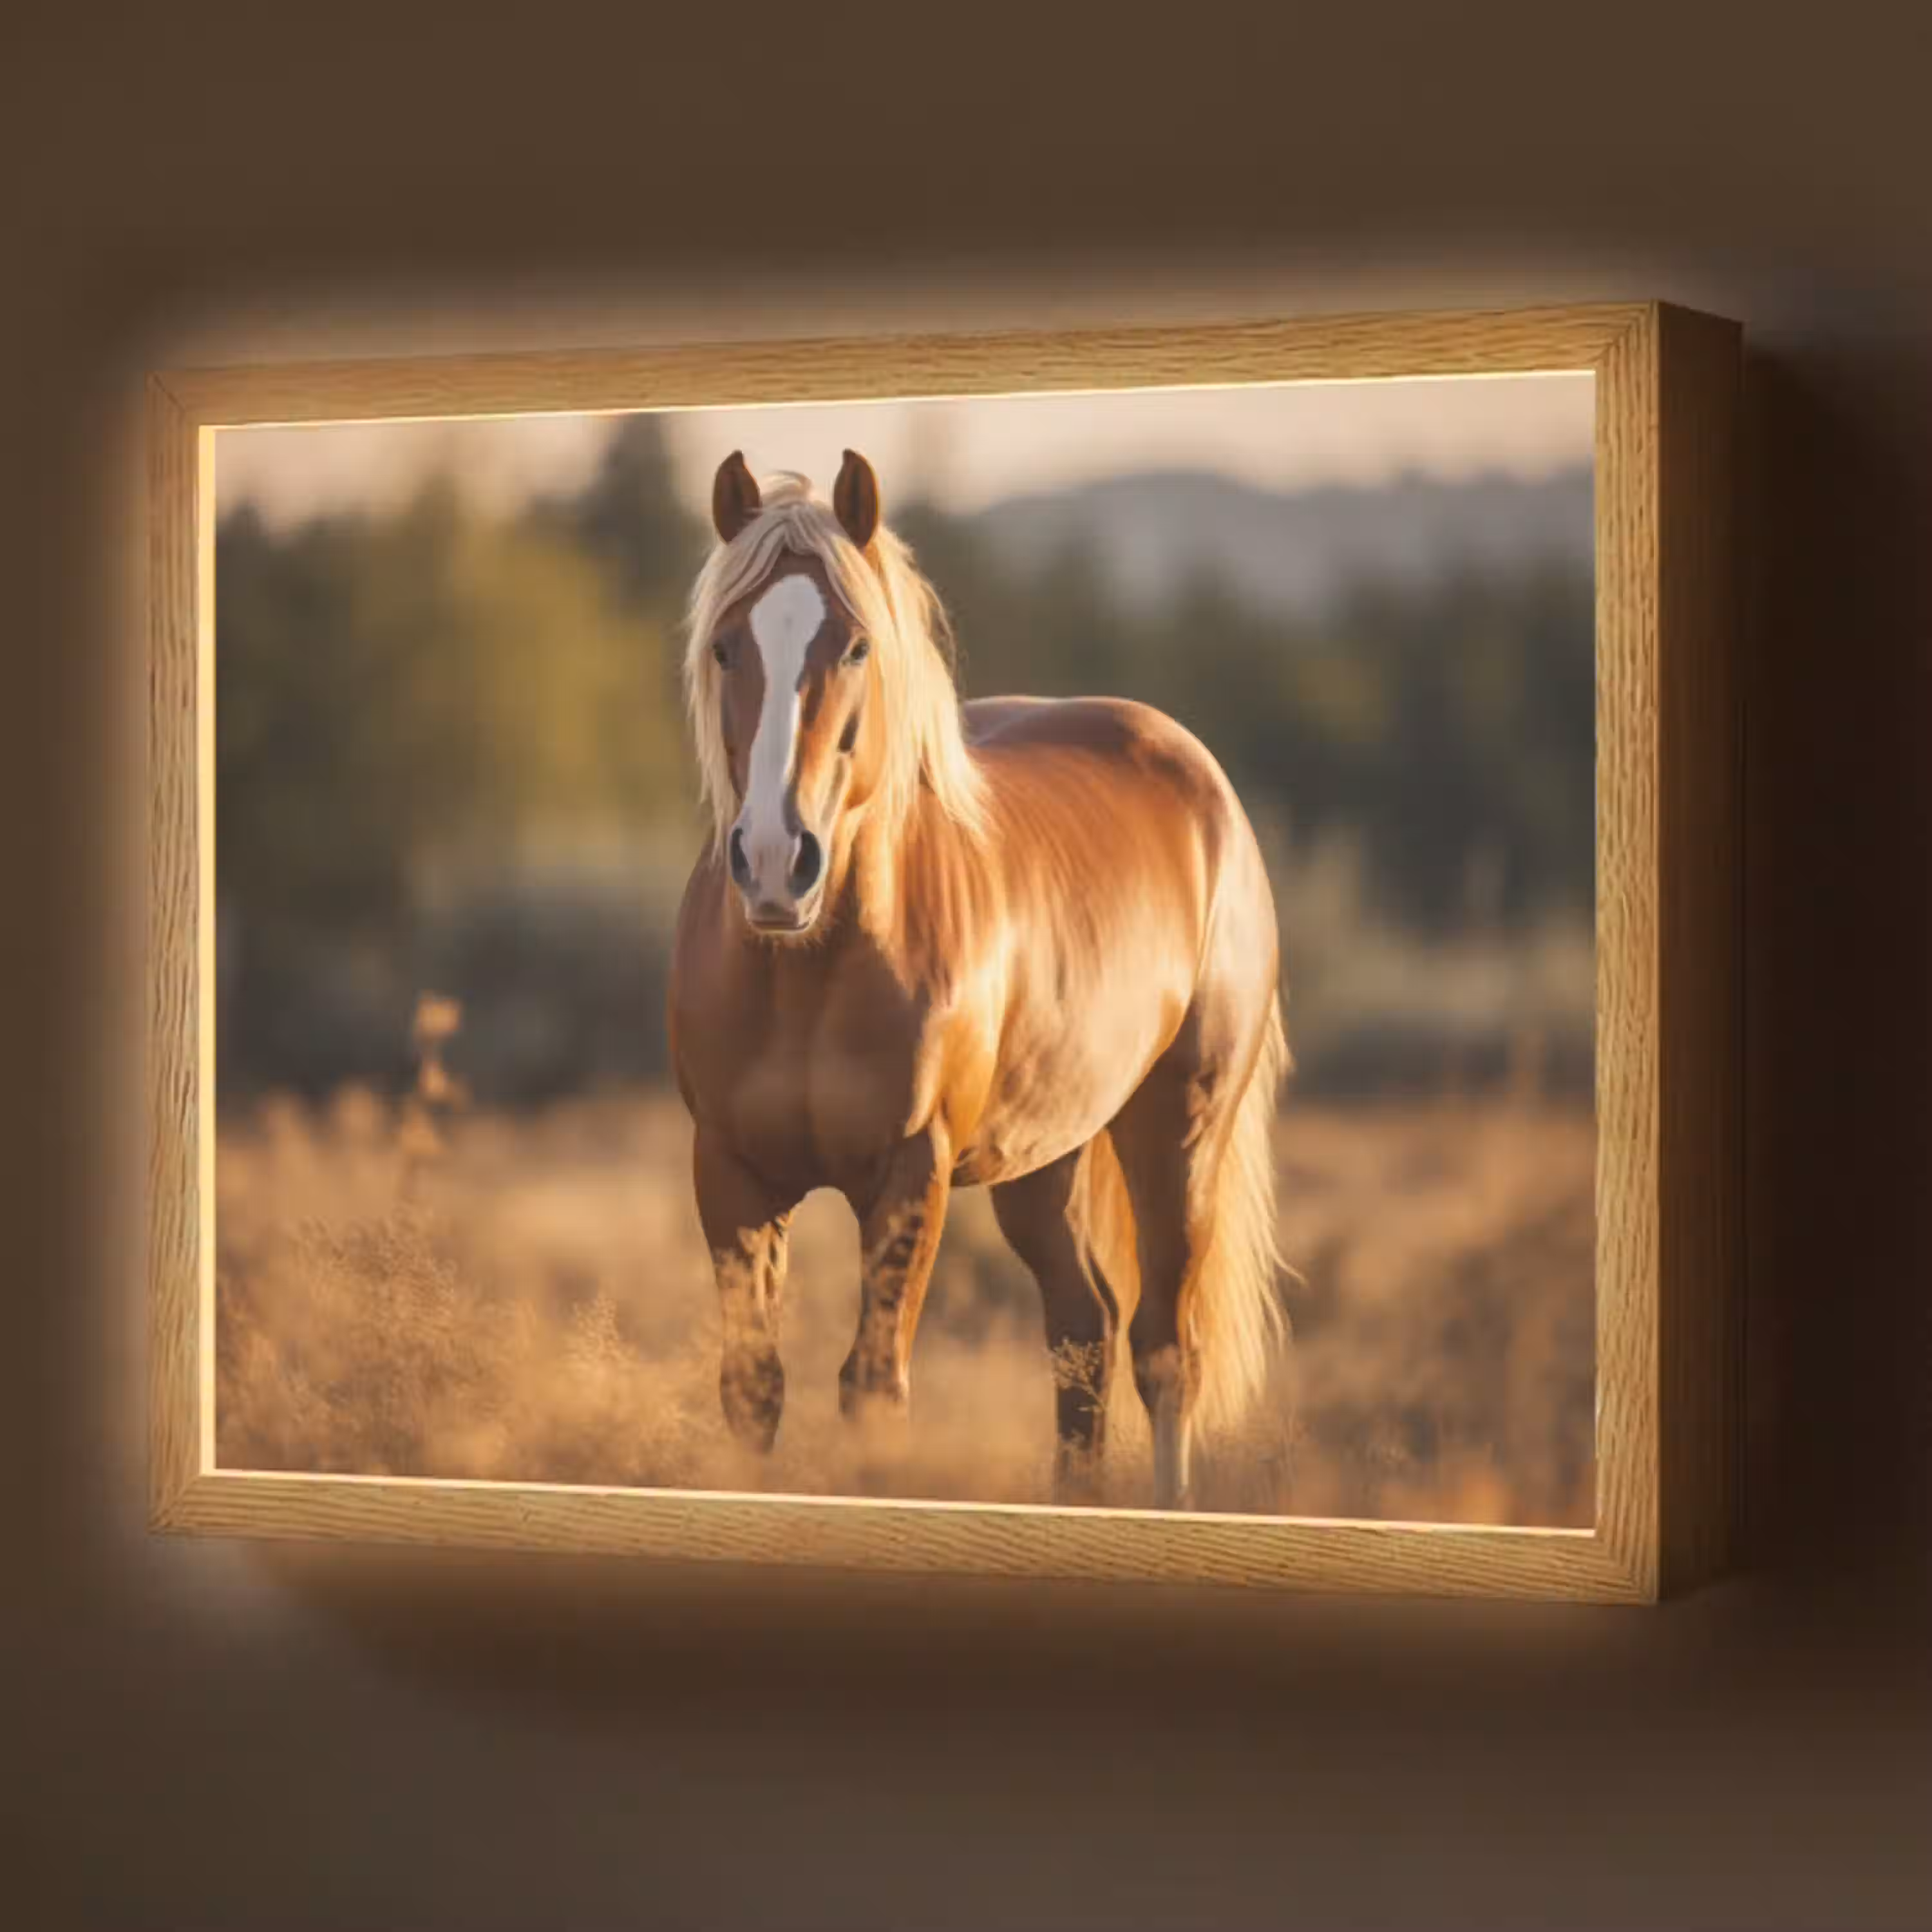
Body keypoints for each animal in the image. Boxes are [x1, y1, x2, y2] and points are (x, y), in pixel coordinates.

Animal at [666, 449, 1288, 1509]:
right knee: (1085, 1333)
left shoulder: (912, 1170)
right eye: (724, 647)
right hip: (1044, 1159)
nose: (776, 861)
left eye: (857, 647)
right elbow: (754, 1387)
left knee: (1166, 1352)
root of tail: (1199, 777)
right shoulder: (732, 1171)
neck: (809, 973)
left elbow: (873, 1389)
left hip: (1179, 1131)